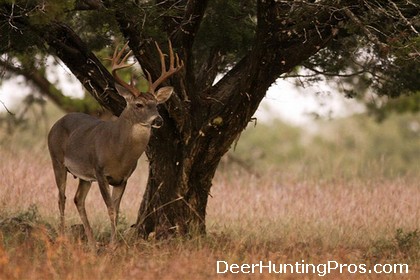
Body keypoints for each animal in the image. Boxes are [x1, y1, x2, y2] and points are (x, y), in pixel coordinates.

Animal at [47, 41, 182, 247]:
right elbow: (110, 209)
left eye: (157, 105)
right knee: (61, 197)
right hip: (57, 160)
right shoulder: (100, 171)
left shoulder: (122, 178)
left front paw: (112, 244)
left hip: (84, 175)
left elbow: (116, 211)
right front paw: (114, 245)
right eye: (139, 105)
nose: (158, 120)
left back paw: (92, 243)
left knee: (78, 199)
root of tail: (55, 124)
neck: (119, 152)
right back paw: (63, 239)